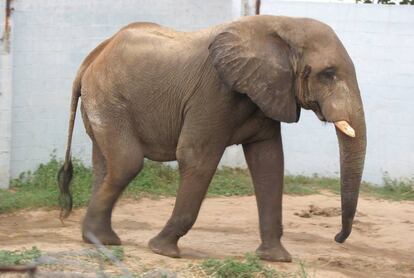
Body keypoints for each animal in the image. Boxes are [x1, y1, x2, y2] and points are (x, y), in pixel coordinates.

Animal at [57, 15, 366, 262]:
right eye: (328, 74)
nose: (338, 238)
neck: (283, 25)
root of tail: (93, 55)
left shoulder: (266, 93)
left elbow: (269, 162)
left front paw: (276, 259)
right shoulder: (213, 92)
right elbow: (196, 157)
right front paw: (163, 250)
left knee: (105, 165)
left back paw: (99, 239)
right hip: (109, 99)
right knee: (126, 164)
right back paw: (101, 239)